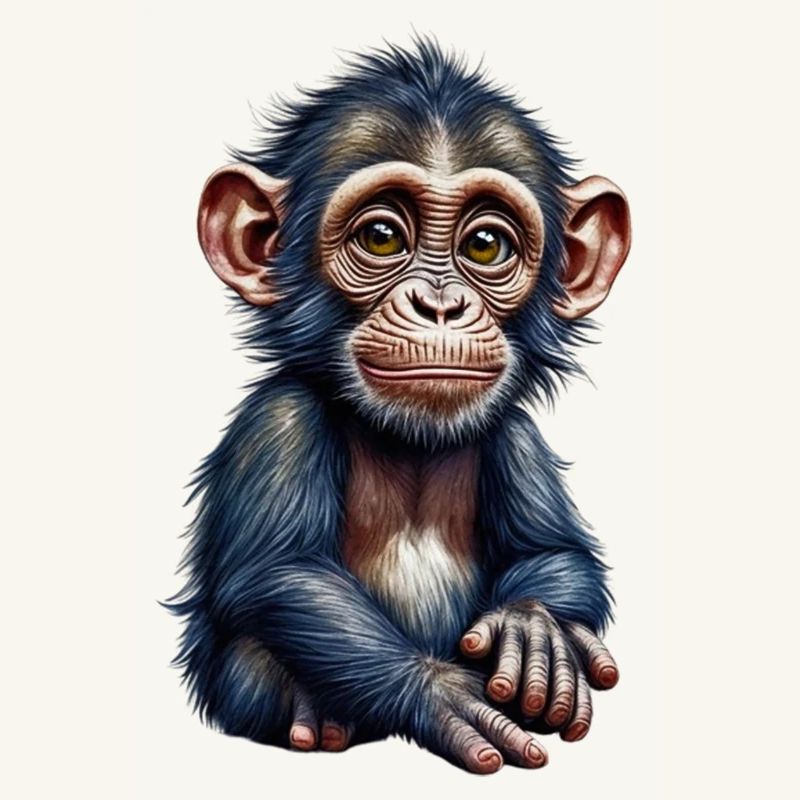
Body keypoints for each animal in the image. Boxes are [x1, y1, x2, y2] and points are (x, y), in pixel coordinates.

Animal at [167, 39, 631, 774]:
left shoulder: (518, 434)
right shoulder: (279, 422)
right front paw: (440, 691)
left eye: (485, 246)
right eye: (382, 237)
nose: (439, 305)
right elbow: (282, 571)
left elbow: (555, 547)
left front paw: (534, 629)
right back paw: (315, 718)